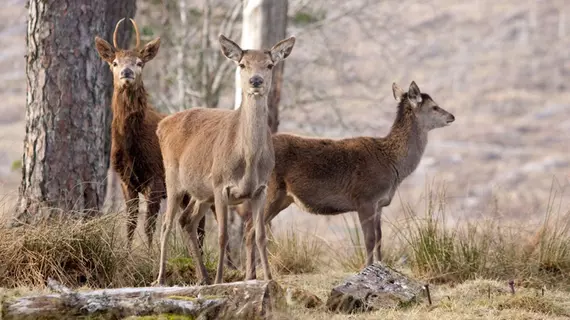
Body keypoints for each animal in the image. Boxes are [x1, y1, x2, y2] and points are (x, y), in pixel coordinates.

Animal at [94, 18, 207, 249]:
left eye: (139, 62)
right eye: (115, 62)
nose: (127, 73)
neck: (132, 147)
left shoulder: (156, 177)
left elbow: (148, 225)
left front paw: (149, 252)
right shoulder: (126, 180)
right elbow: (130, 222)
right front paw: (127, 252)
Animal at [155, 34, 298, 284]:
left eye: (270, 65)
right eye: (242, 64)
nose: (256, 81)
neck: (248, 160)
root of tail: (161, 125)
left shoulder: (260, 189)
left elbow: (260, 235)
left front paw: (268, 278)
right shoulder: (221, 184)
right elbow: (223, 236)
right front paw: (220, 280)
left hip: (202, 193)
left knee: (187, 220)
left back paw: (202, 277)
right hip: (173, 179)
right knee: (166, 225)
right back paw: (162, 278)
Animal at [235, 81, 452, 274]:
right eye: (434, 107)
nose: (452, 116)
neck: (392, 166)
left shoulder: (379, 204)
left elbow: (380, 238)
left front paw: (383, 268)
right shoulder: (365, 198)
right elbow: (369, 239)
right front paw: (367, 270)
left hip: (282, 199)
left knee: (251, 230)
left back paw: (251, 276)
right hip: (269, 191)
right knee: (251, 230)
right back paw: (256, 276)